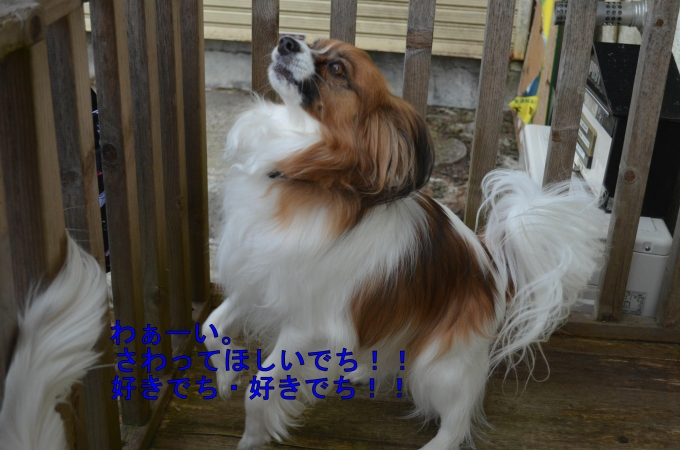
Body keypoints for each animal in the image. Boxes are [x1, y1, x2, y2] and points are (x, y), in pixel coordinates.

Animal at [204, 36, 607, 450]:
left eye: (337, 69)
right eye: (311, 43)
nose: (287, 40)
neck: (305, 175)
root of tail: (489, 261)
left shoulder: (304, 326)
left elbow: (260, 390)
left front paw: (251, 438)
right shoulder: (257, 281)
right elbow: (210, 328)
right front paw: (226, 375)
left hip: (438, 367)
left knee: (458, 416)